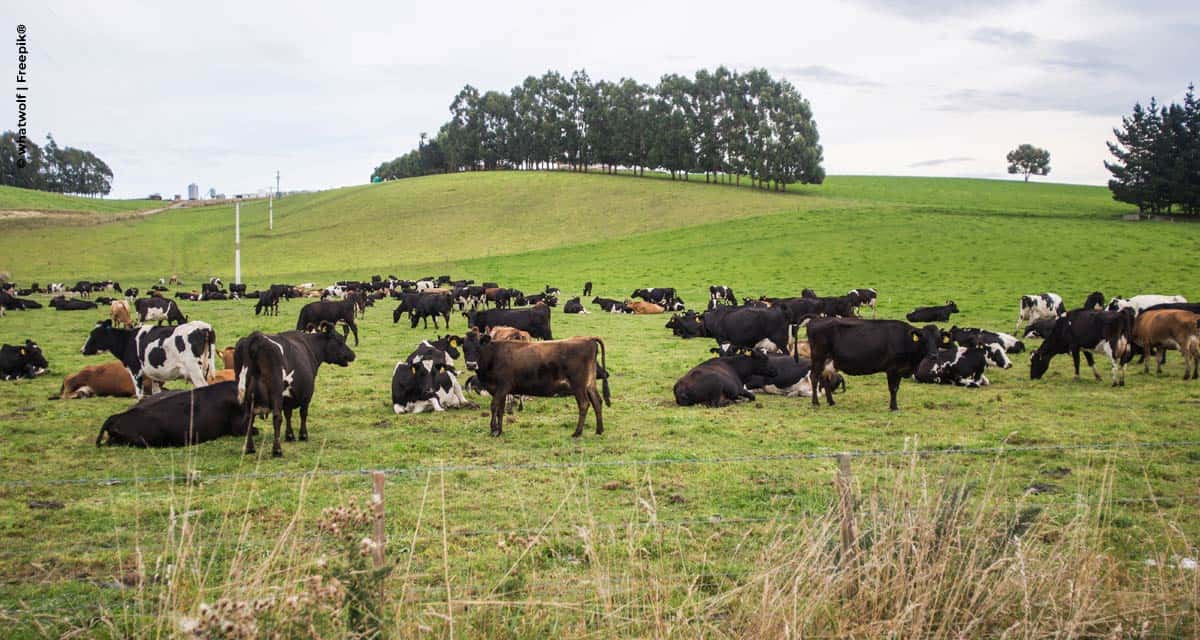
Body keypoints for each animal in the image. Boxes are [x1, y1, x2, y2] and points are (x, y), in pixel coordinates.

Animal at [81, 319, 217, 393]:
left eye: (94, 335)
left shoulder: (135, 371)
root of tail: (203, 327)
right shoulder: (156, 375)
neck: (128, 340)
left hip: (195, 371)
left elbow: (139, 395)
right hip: (205, 368)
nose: (82, 350)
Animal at [234, 326, 355, 456]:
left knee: (249, 419)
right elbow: (303, 413)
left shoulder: (287, 396)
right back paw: (277, 450)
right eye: (340, 341)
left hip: (245, 394)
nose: (352, 354)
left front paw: (290, 435)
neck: (309, 346)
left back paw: (249, 448)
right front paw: (303, 435)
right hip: (275, 392)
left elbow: (288, 413)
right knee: (276, 417)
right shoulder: (307, 394)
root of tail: (257, 337)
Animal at [458, 331, 609, 437]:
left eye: (478, 348)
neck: (494, 355)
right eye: (464, 348)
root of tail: (588, 339)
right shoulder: (500, 391)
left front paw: (493, 430)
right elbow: (500, 409)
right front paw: (499, 431)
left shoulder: (502, 387)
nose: (471, 365)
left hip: (578, 386)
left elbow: (494, 406)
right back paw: (599, 430)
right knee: (597, 402)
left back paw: (577, 432)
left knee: (584, 404)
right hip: (590, 384)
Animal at [806, 316, 945, 408]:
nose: (934, 355)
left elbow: (897, 388)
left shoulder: (899, 370)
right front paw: (894, 407)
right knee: (814, 377)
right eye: (924, 339)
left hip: (826, 362)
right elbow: (893, 388)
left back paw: (831, 402)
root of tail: (815, 321)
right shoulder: (892, 369)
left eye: (938, 339)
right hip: (819, 357)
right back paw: (815, 402)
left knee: (824, 379)